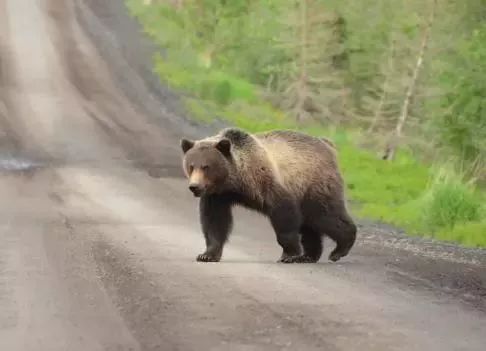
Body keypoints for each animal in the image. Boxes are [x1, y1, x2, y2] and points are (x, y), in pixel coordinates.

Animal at [180, 129, 356, 264]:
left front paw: (289, 254)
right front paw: (207, 255)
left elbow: (284, 214)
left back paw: (339, 249)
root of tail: (328, 145)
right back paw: (308, 256)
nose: (194, 187)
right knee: (310, 224)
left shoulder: (266, 182)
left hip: (313, 185)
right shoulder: (217, 196)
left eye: (206, 167)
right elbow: (214, 221)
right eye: (191, 166)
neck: (235, 181)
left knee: (325, 215)